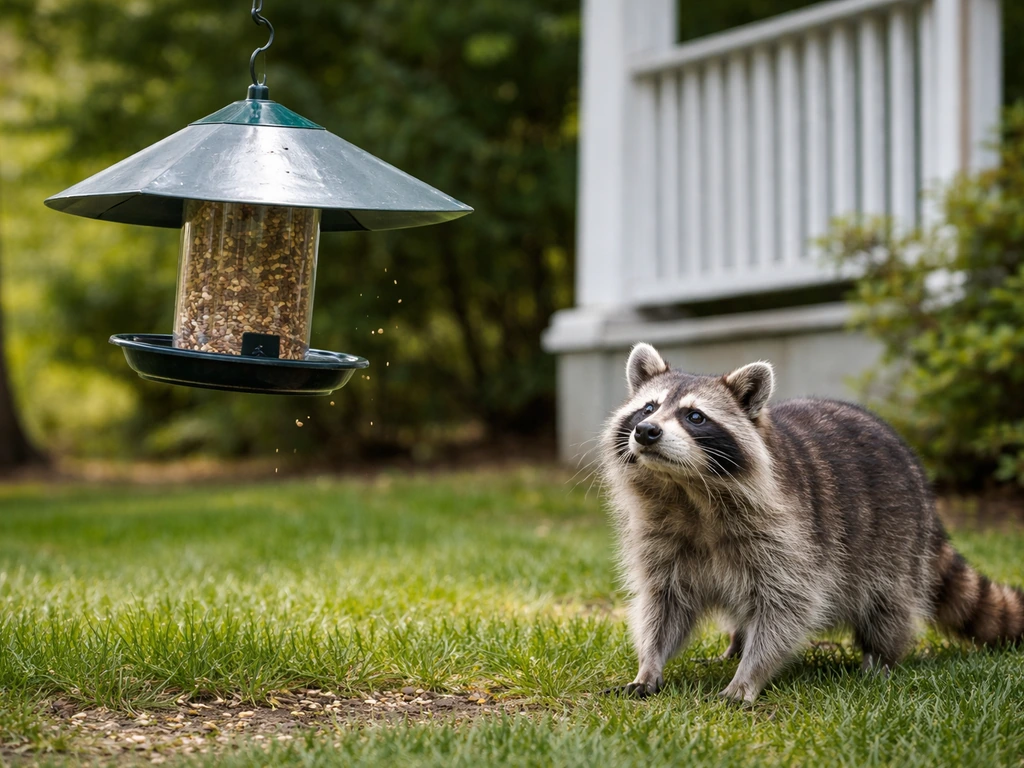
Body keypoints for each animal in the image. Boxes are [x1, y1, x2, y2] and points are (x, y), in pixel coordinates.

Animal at [600, 342, 1024, 703]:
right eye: (647, 409)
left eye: (694, 416)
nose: (646, 431)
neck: (687, 491)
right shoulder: (660, 538)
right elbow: (663, 604)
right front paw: (649, 664)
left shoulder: (790, 538)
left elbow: (787, 608)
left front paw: (748, 676)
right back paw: (735, 645)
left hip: (896, 539)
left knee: (888, 604)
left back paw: (879, 657)